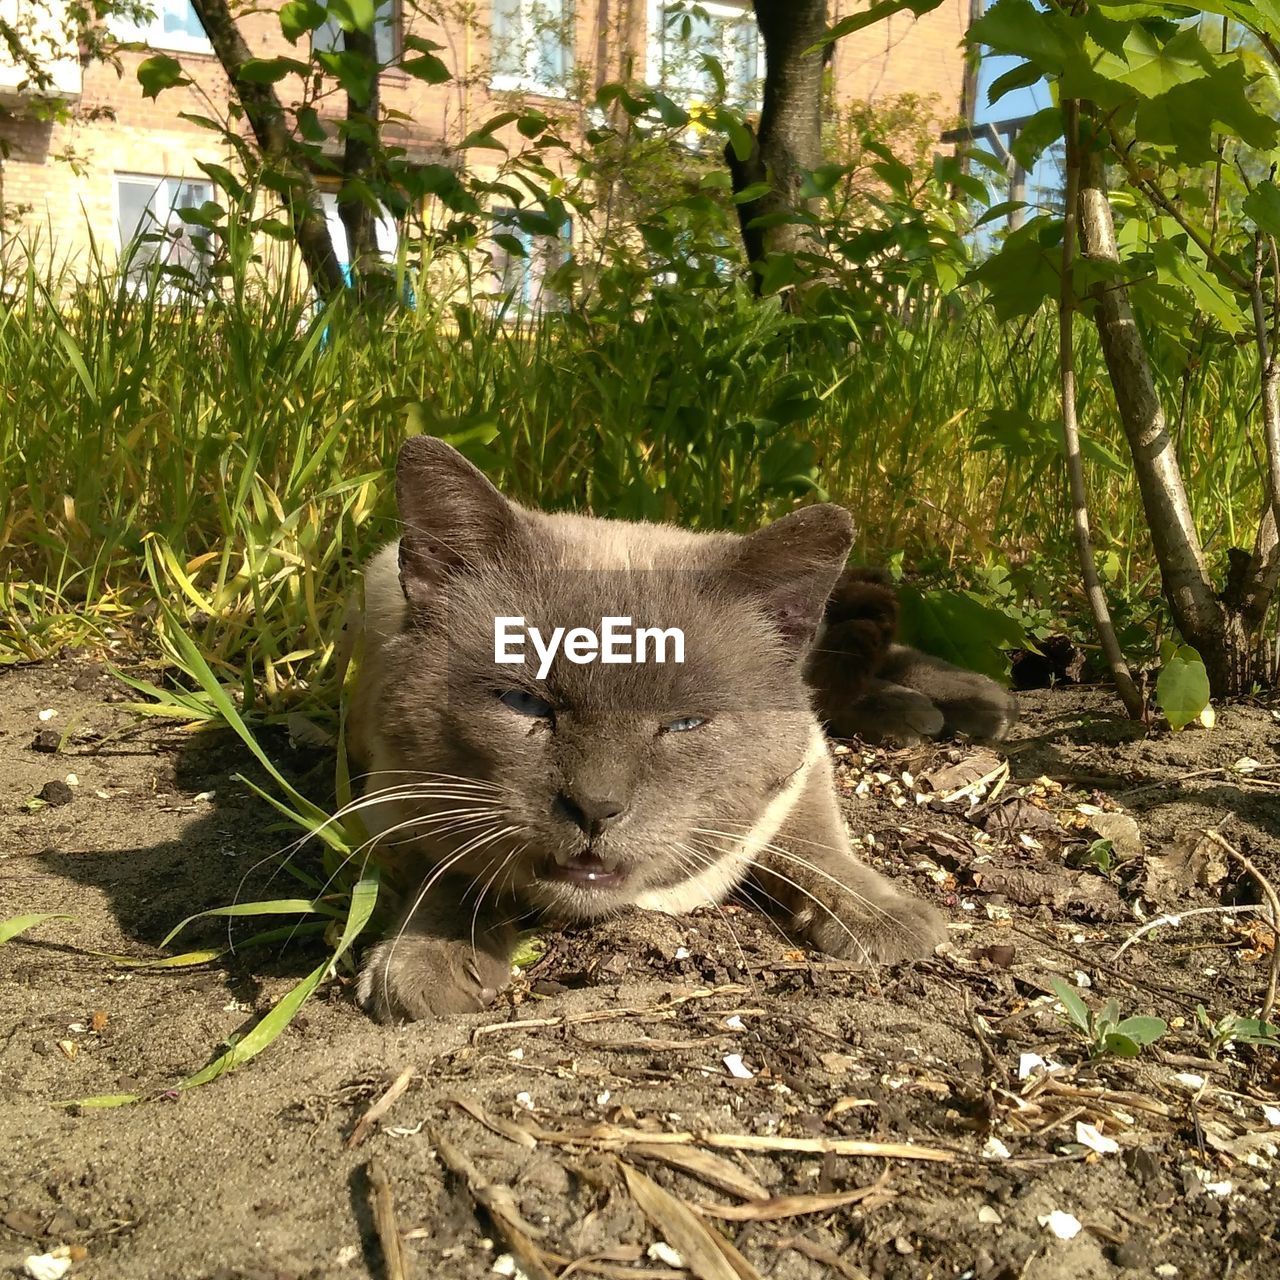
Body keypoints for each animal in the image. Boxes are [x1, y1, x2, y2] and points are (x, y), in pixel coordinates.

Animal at [345, 437, 1003, 1018]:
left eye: (684, 723)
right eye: (524, 703)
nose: (596, 808)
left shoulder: (806, 765)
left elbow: (816, 846)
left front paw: (886, 920)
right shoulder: (390, 795)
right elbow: (450, 867)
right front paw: (427, 960)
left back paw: (976, 704)